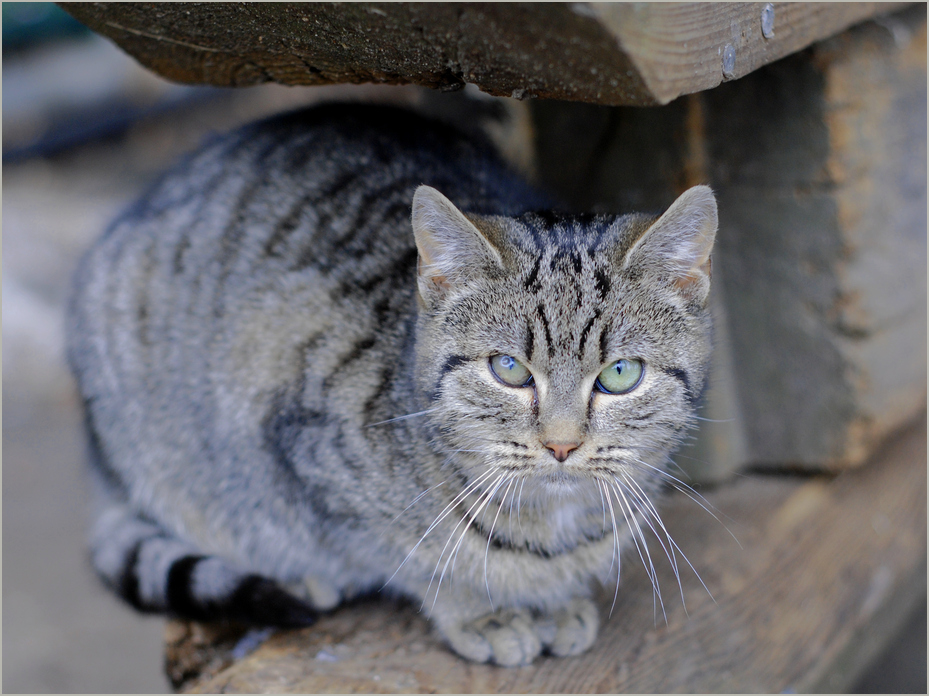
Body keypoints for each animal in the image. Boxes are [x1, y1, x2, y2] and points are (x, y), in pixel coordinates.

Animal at [67, 103, 716, 668]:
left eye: (619, 375)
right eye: (508, 369)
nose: (561, 445)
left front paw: (555, 600)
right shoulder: (303, 442)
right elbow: (411, 558)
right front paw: (479, 610)